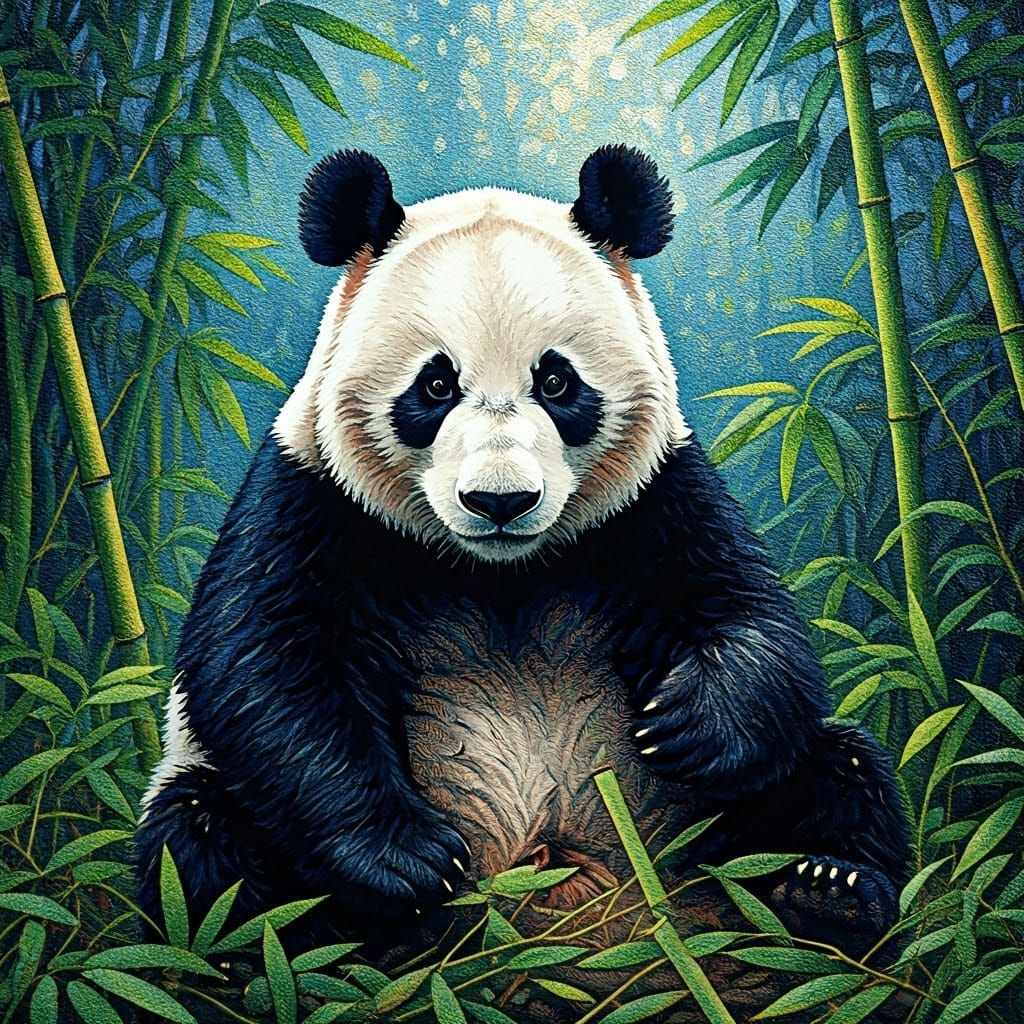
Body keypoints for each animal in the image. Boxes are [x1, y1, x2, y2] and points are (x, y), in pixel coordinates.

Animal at [135, 145, 909, 955]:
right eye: (435, 384)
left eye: (558, 380)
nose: (500, 501)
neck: (498, 573)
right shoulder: (314, 499)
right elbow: (266, 666)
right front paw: (408, 859)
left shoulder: (654, 501)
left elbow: (746, 610)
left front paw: (688, 721)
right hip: (207, 797)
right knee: (199, 837)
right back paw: (280, 943)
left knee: (839, 767)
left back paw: (828, 894)